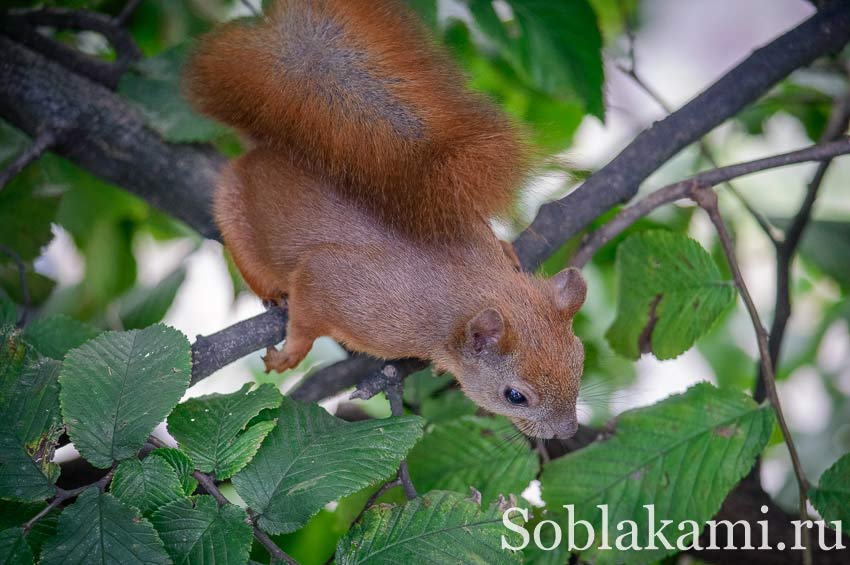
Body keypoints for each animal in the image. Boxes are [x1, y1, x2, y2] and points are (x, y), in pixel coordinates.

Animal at [183, 0, 588, 440]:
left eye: (579, 359)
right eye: (515, 396)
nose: (567, 432)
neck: (469, 288)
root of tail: (268, 150)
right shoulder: (339, 286)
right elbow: (307, 314)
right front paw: (291, 352)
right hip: (234, 213)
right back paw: (273, 293)